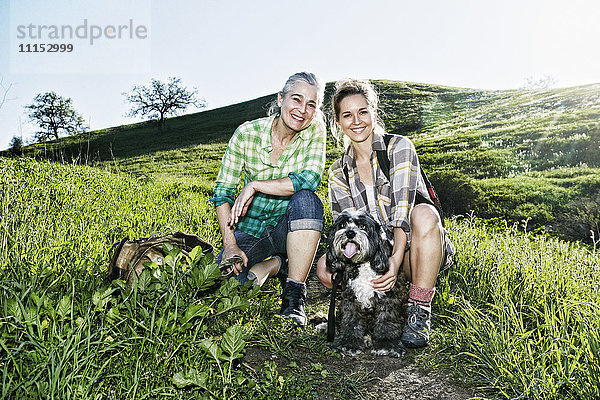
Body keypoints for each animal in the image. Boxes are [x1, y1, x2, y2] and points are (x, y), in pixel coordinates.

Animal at [326, 209, 406, 356]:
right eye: (342, 225)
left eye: (362, 226)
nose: (350, 233)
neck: (363, 263)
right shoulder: (350, 298)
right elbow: (350, 321)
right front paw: (348, 342)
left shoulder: (387, 297)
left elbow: (386, 320)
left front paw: (386, 343)